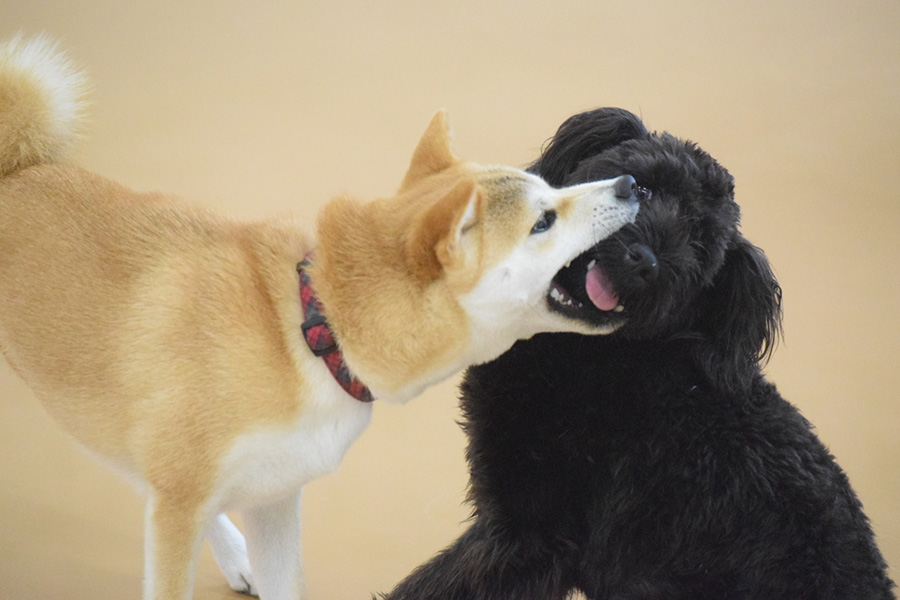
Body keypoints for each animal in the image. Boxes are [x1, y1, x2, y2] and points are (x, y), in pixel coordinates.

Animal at [0, 36, 640, 600]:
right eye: (542, 221)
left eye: (551, 190)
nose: (630, 183)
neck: (311, 333)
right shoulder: (180, 505)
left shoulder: (273, 498)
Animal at [384, 108, 892, 600]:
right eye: (642, 187)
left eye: (699, 242)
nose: (644, 260)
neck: (600, 352)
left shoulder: (530, 532)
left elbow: (435, 584)